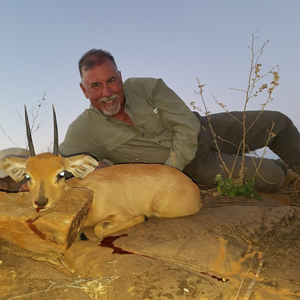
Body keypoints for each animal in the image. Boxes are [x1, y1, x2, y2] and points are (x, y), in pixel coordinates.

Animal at [0, 106, 202, 238]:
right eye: (28, 176)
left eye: (61, 174)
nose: (41, 202)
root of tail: (194, 187)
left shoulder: (119, 213)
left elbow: (99, 229)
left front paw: (142, 217)